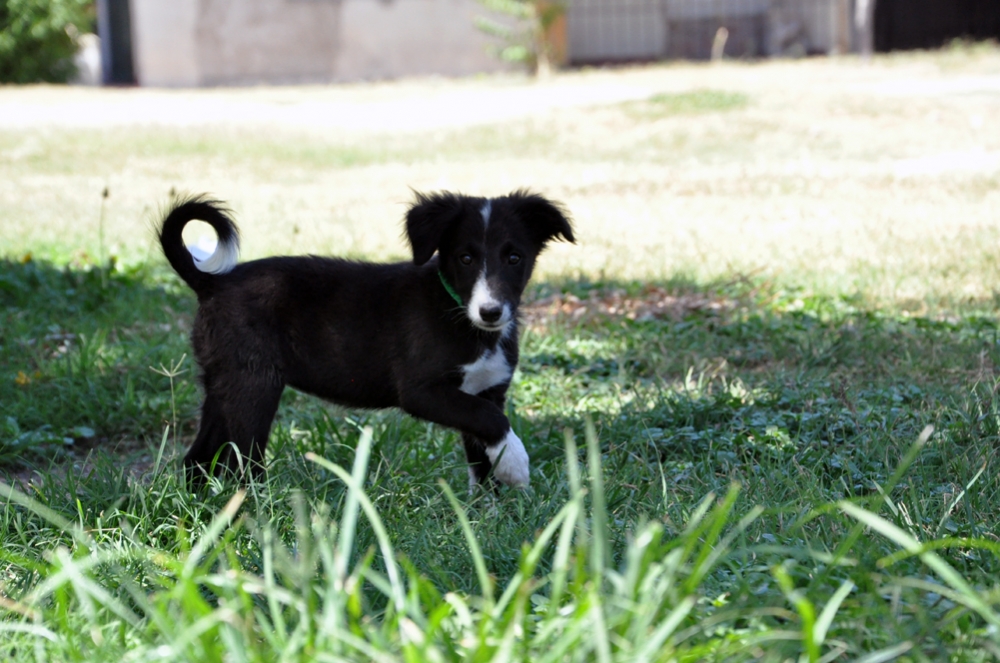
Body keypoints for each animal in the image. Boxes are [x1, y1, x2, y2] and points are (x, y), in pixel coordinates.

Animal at [160, 191, 576, 488]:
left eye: (514, 258)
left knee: (198, 458)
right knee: (243, 464)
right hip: (254, 385)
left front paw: (487, 515)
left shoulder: (486, 390)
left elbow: (482, 453)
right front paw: (517, 465)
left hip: (224, 383)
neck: (462, 317)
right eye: (466, 258)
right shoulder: (422, 391)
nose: (490, 312)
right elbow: (491, 420)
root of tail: (211, 282)